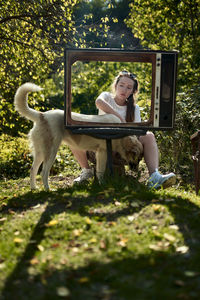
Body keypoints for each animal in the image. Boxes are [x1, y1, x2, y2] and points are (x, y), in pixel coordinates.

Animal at [14, 82, 143, 190]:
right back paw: (48, 190)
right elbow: (100, 171)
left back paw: (34, 188)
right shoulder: (102, 152)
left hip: (41, 152)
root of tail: (42, 115)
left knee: (33, 170)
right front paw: (103, 184)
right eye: (137, 158)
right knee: (43, 172)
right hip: (51, 152)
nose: (137, 171)